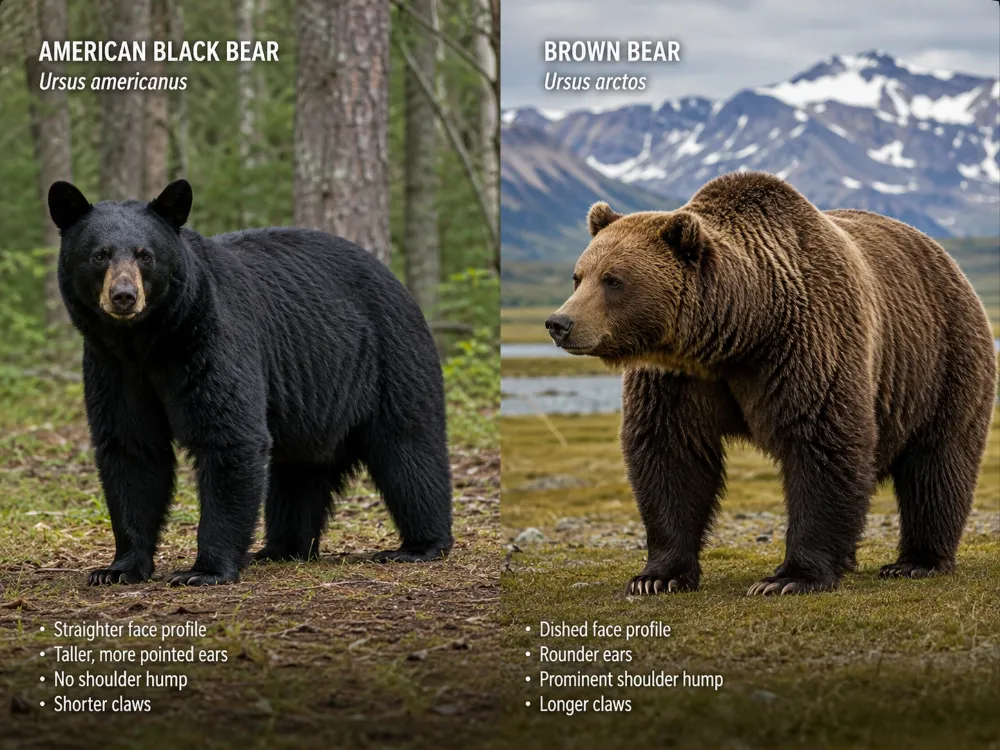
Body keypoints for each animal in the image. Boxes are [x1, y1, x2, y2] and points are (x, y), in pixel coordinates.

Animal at [48, 179, 453, 586]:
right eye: (100, 255)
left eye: (145, 255)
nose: (124, 296)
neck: (148, 341)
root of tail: (395, 279)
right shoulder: (113, 367)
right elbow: (131, 449)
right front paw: (119, 568)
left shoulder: (211, 338)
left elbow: (230, 434)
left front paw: (205, 570)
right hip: (314, 404)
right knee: (297, 474)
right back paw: (282, 548)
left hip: (391, 358)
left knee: (408, 450)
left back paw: (420, 545)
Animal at [545, 171, 996, 596]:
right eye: (578, 276)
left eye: (613, 279)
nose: (559, 322)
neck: (742, 329)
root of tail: (947, 259)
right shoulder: (674, 378)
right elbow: (670, 454)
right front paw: (656, 577)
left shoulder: (810, 345)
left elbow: (822, 444)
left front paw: (789, 578)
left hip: (941, 361)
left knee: (937, 464)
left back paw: (916, 562)